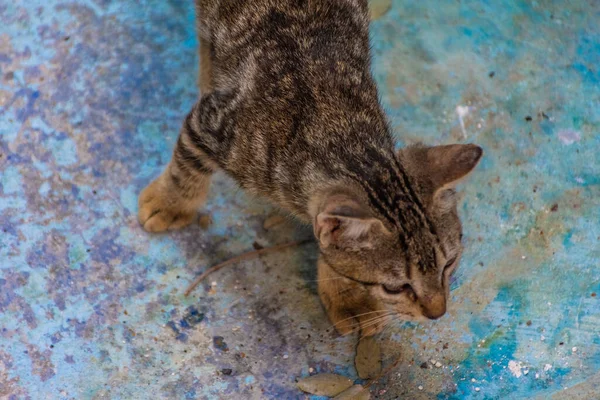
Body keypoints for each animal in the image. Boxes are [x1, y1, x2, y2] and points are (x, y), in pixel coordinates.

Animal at [138, 0, 480, 336]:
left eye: (449, 263)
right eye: (396, 287)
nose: (437, 313)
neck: (340, 131)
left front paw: (348, 297)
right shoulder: (210, 124)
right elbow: (186, 167)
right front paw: (169, 204)